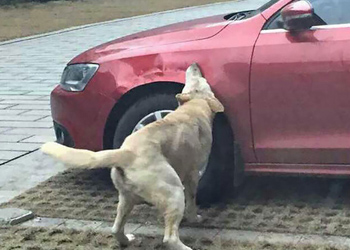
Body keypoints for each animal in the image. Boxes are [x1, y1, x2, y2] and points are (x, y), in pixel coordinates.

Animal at [39, 63, 223, 250]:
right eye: (202, 79)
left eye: (193, 78)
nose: (195, 65)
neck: (194, 105)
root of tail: (125, 153)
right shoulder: (192, 175)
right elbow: (192, 200)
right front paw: (194, 217)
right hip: (174, 190)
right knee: (169, 238)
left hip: (126, 199)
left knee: (116, 229)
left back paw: (126, 240)